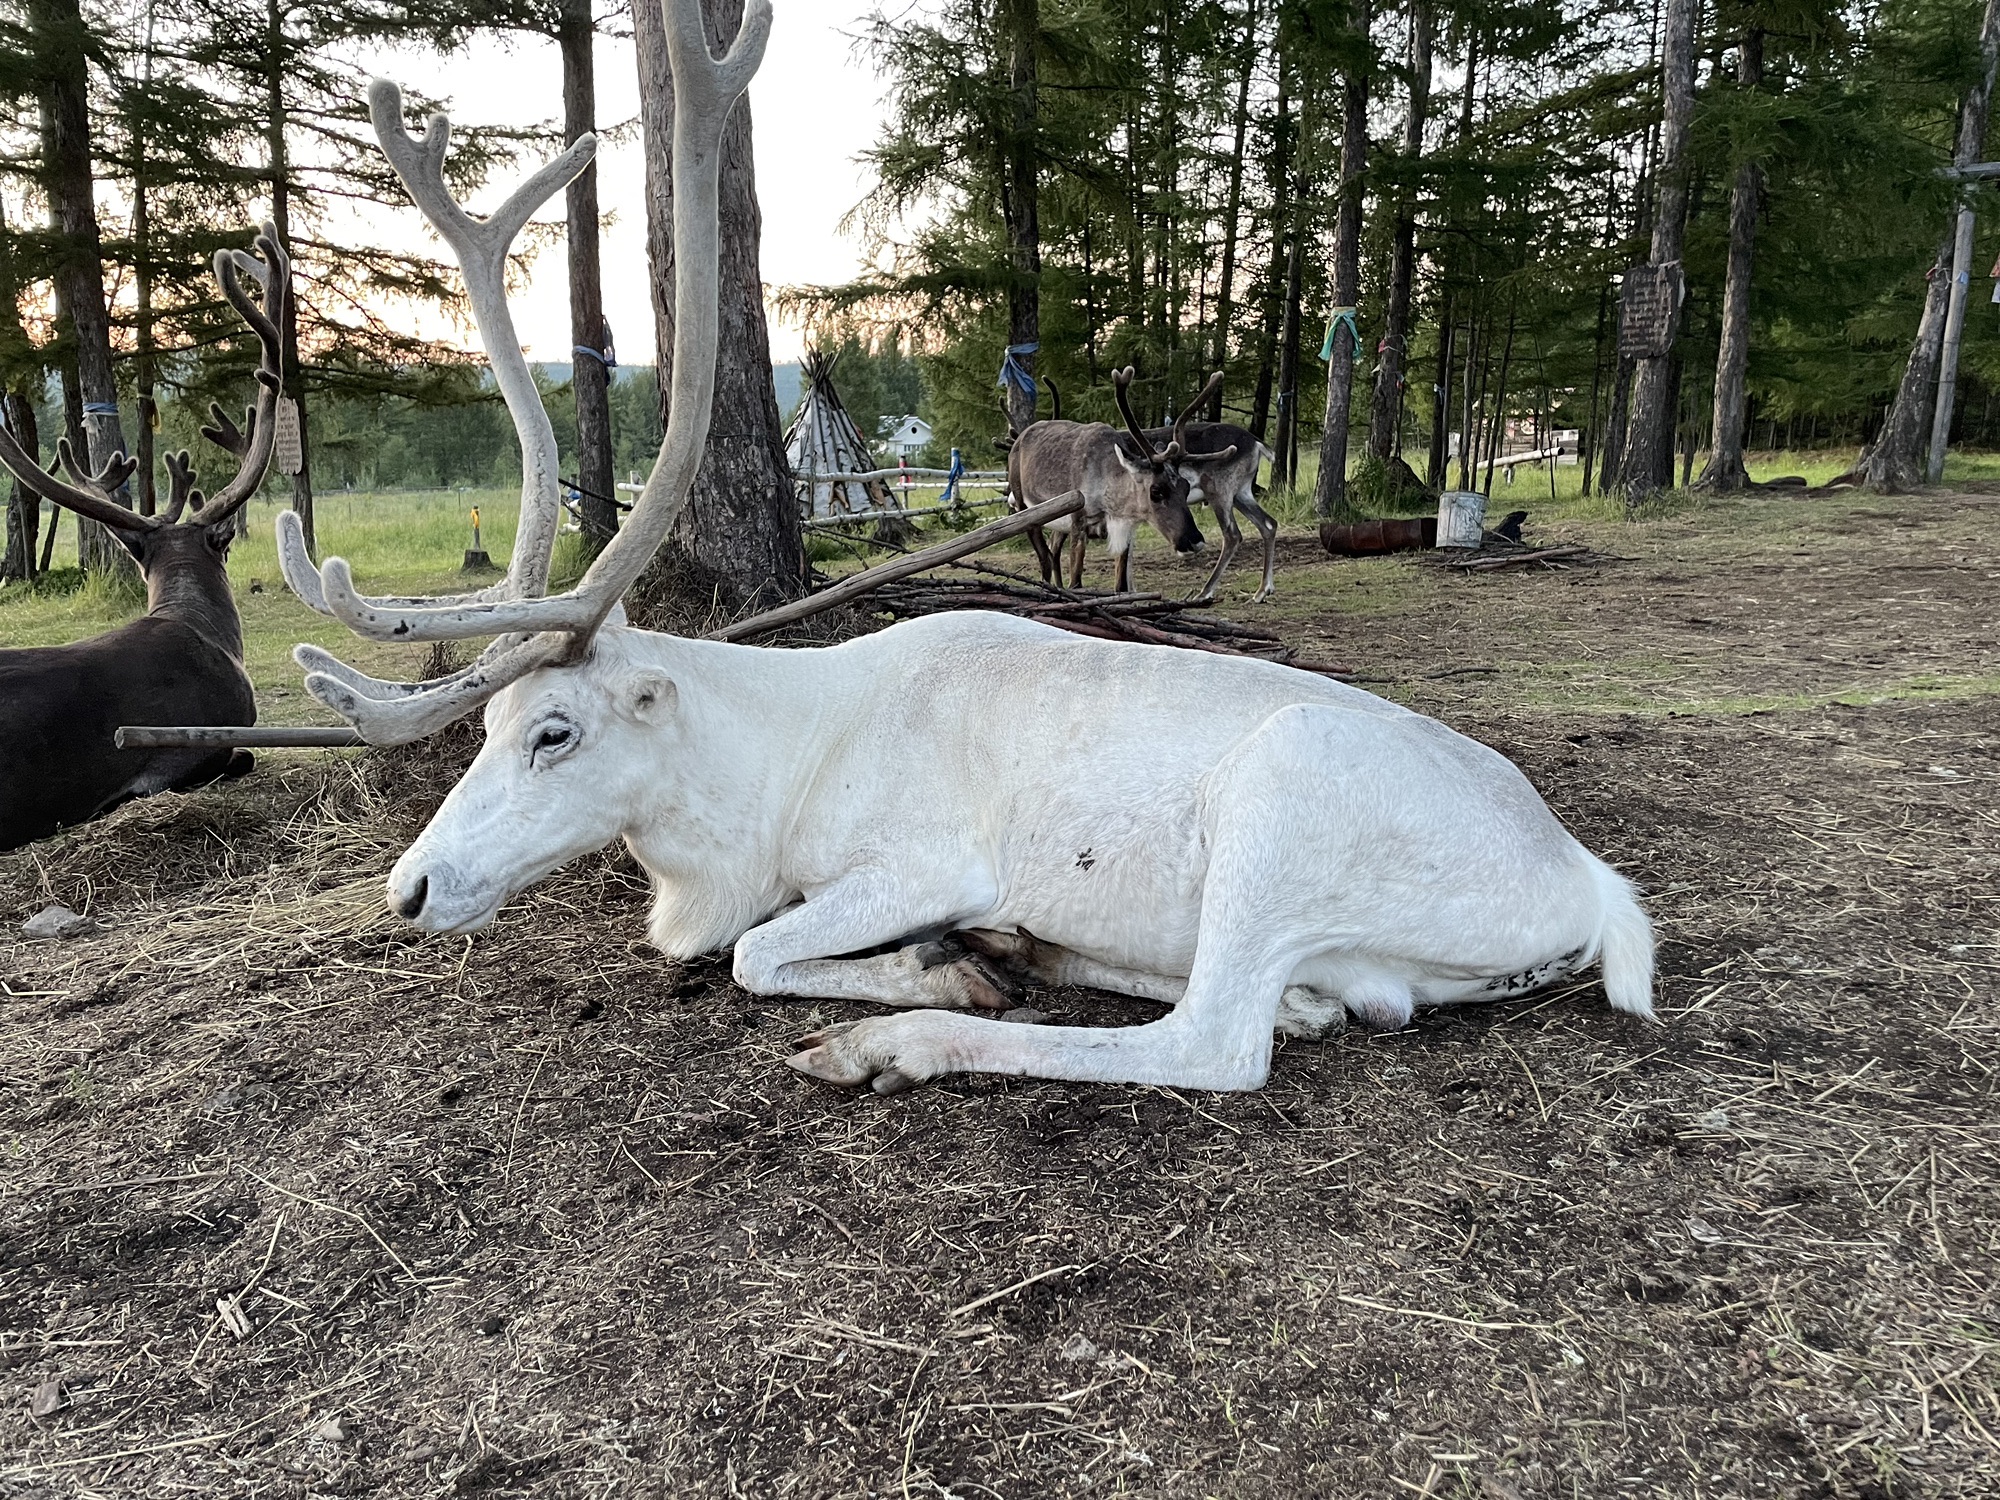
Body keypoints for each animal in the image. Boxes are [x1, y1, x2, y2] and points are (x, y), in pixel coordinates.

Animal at [1006, 369, 1236, 595]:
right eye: (1156, 491)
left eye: (1186, 487)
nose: (1194, 541)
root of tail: (1020, 437)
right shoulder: (1078, 523)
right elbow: (1076, 582)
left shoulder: (1125, 530)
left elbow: (1121, 586)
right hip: (1024, 506)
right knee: (1044, 558)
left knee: (1051, 553)